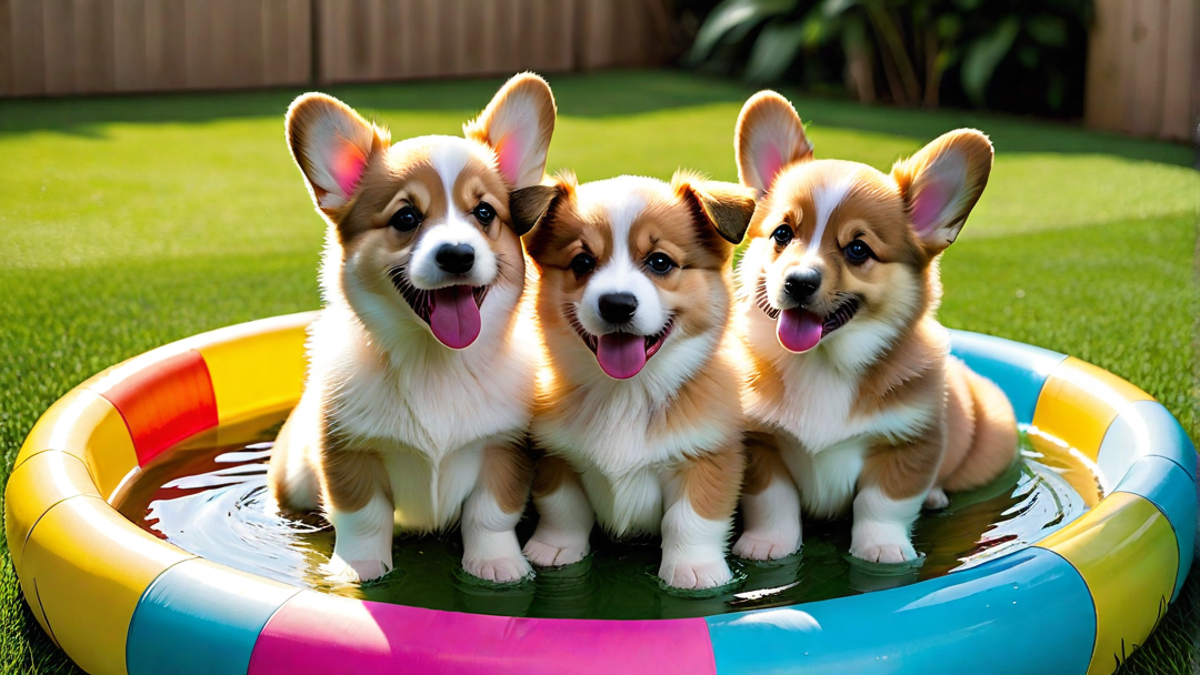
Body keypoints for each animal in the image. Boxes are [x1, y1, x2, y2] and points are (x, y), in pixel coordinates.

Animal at [267, 72, 556, 578]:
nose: (457, 255)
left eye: (485, 213)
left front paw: (497, 565)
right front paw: (359, 569)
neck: (435, 363)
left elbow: (490, 515)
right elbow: (363, 517)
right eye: (406, 217)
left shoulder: (503, 449)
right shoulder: (346, 451)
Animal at [516, 170, 758, 586]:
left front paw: (694, 569)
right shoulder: (556, 456)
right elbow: (563, 508)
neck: (626, 393)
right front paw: (555, 548)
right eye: (582, 261)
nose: (617, 304)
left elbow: (691, 519)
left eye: (660, 262)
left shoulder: (709, 458)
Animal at [724, 90, 1017, 562]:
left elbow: (883, 503)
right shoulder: (762, 444)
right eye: (782, 234)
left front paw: (882, 550)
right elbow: (773, 502)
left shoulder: (909, 443)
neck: (823, 364)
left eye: (858, 249)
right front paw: (769, 544)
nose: (798, 282)